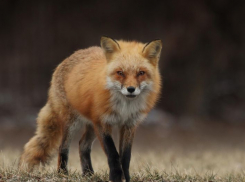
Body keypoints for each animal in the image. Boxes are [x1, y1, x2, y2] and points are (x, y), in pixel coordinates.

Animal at [19, 36, 163, 181]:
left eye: (141, 73)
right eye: (120, 73)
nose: (131, 89)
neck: (124, 108)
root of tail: (69, 57)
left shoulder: (129, 125)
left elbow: (125, 158)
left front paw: (125, 178)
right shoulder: (102, 122)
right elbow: (113, 154)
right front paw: (115, 177)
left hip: (91, 126)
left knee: (82, 145)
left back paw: (88, 173)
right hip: (73, 123)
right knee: (63, 147)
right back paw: (63, 173)